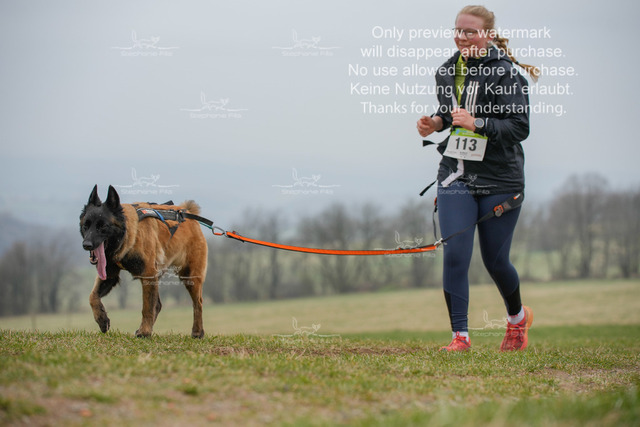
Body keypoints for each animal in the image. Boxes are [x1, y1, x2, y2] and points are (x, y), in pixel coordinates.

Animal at [79, 185, 208, 338]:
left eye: (103, 226)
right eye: (86, 226)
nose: (86, 245)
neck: (128, 234)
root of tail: (187, 212)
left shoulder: (148, 274)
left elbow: (147, 307)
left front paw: (145, 332)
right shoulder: (109, 275)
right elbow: (92, 296)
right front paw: (102, 319)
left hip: (190, 276)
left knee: (198, 303)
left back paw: (197, 331)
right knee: (158, 305)